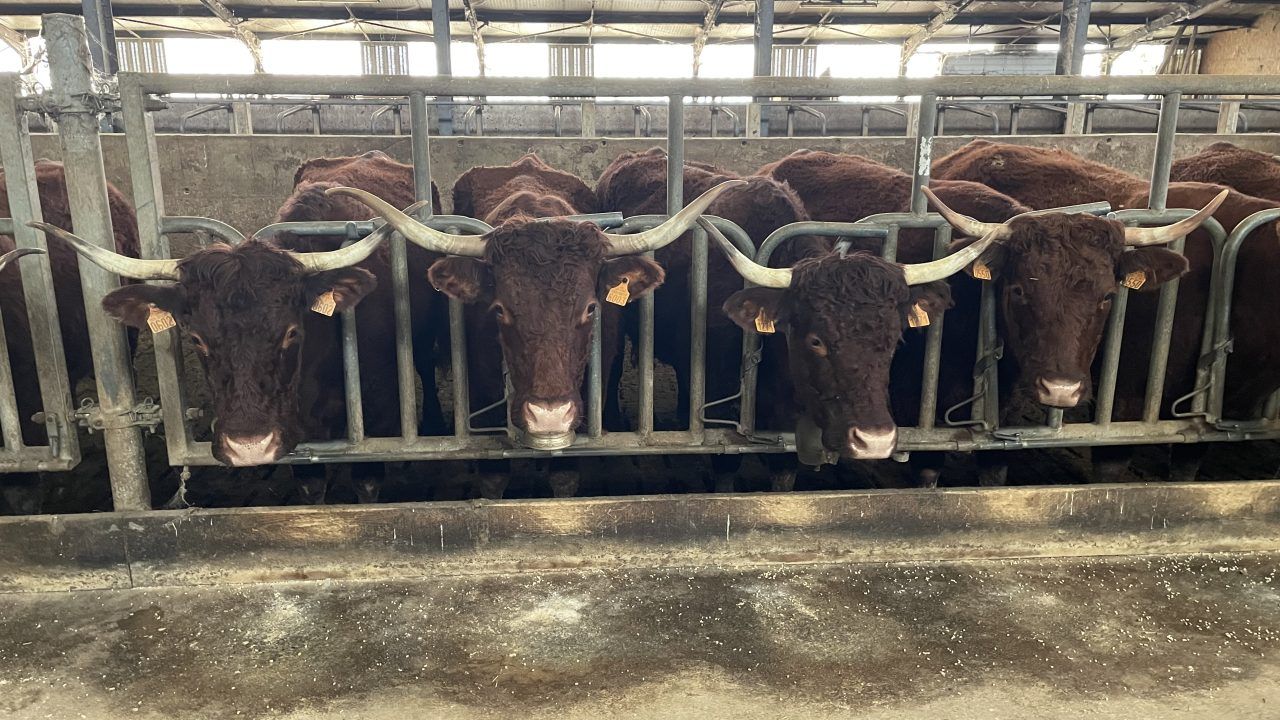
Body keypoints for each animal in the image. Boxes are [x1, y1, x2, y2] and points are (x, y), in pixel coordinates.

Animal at [30, 154, 438, 504]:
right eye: (196, 338)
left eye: (292, 332)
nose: (248, 446)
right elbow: (311, 488)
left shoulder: (379, 410)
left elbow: (367, 483)